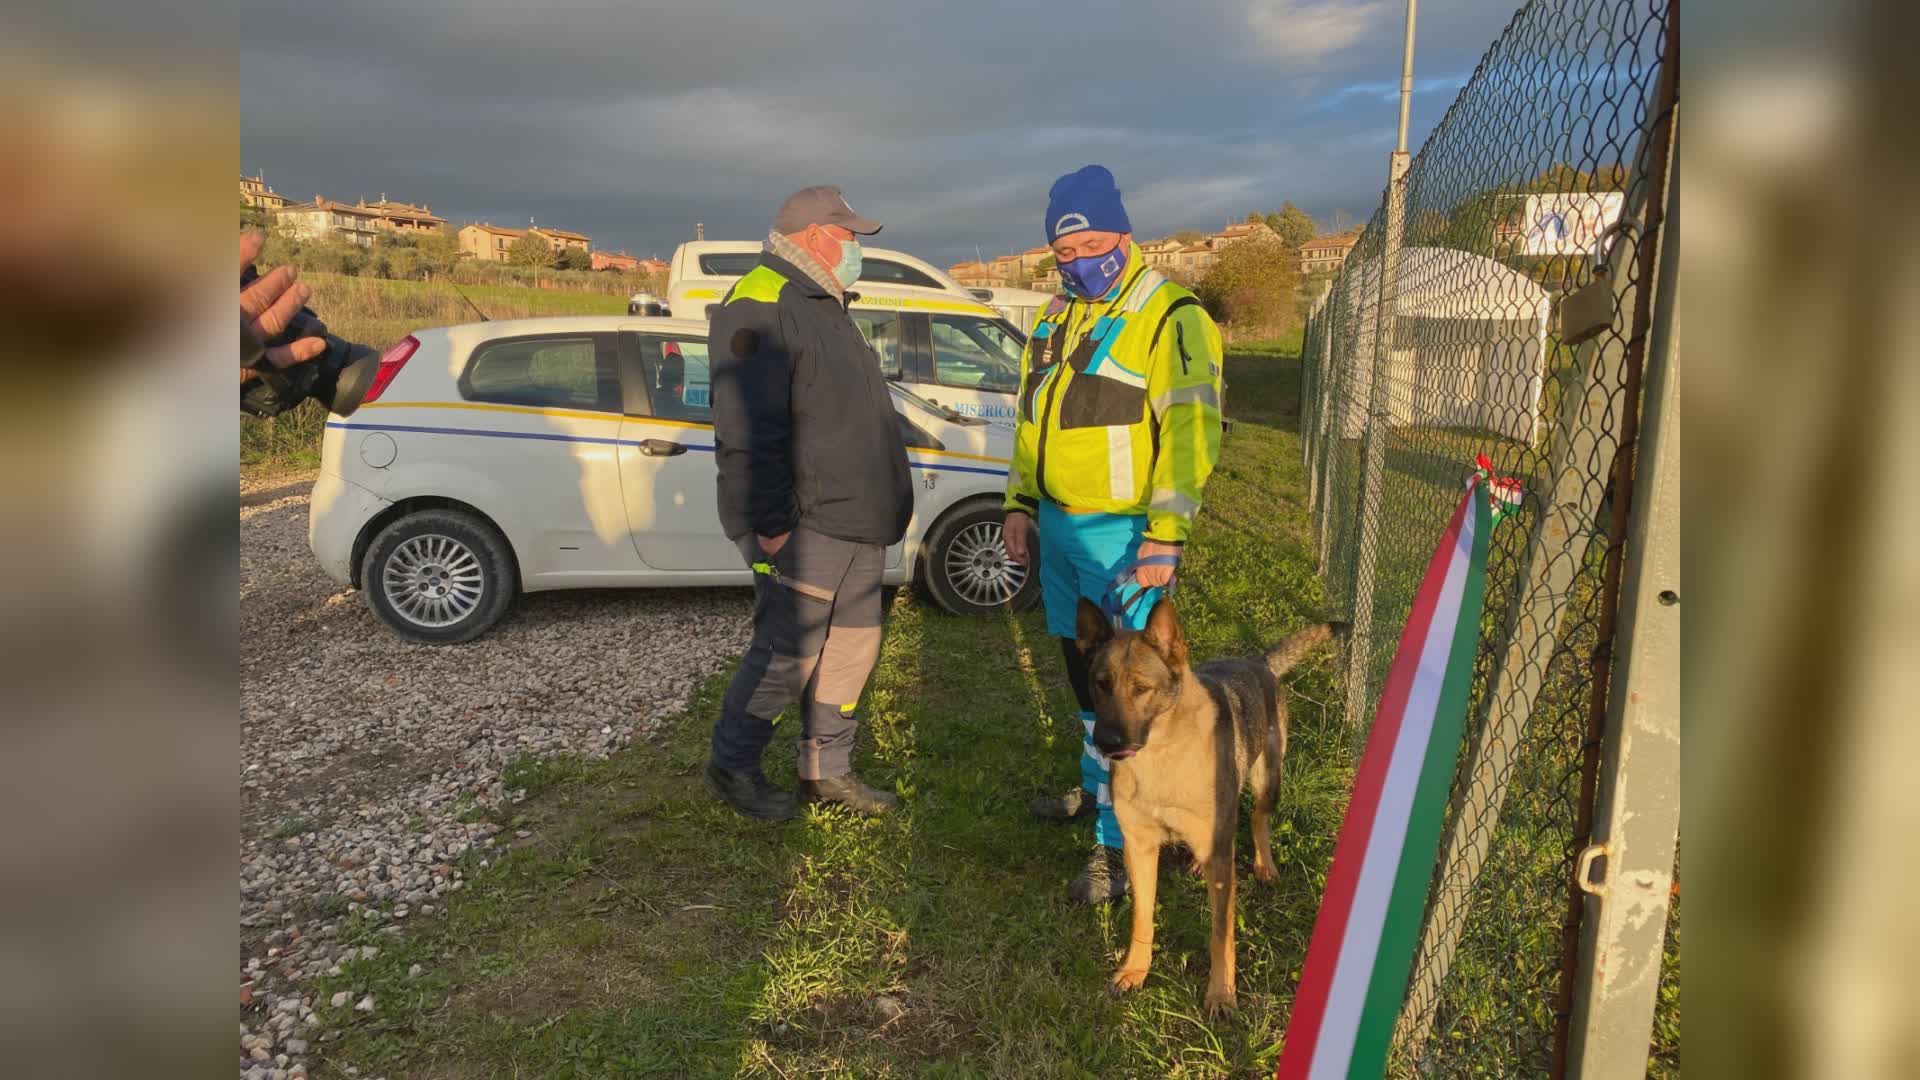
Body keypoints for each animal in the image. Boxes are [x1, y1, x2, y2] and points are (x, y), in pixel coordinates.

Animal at [1082, 591, 1336, 1014]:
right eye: (1100, 684)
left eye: (1142, 688)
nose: (1106, 742)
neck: (1161, 756)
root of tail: (1258, 663)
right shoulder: (1139, 848)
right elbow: (1142, 918)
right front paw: (1135, 970)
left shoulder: (1217, 863)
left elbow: (1221, 934)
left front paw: (1221, 994)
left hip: (1267, 782)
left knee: (1257, 819)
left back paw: (1264, 866)